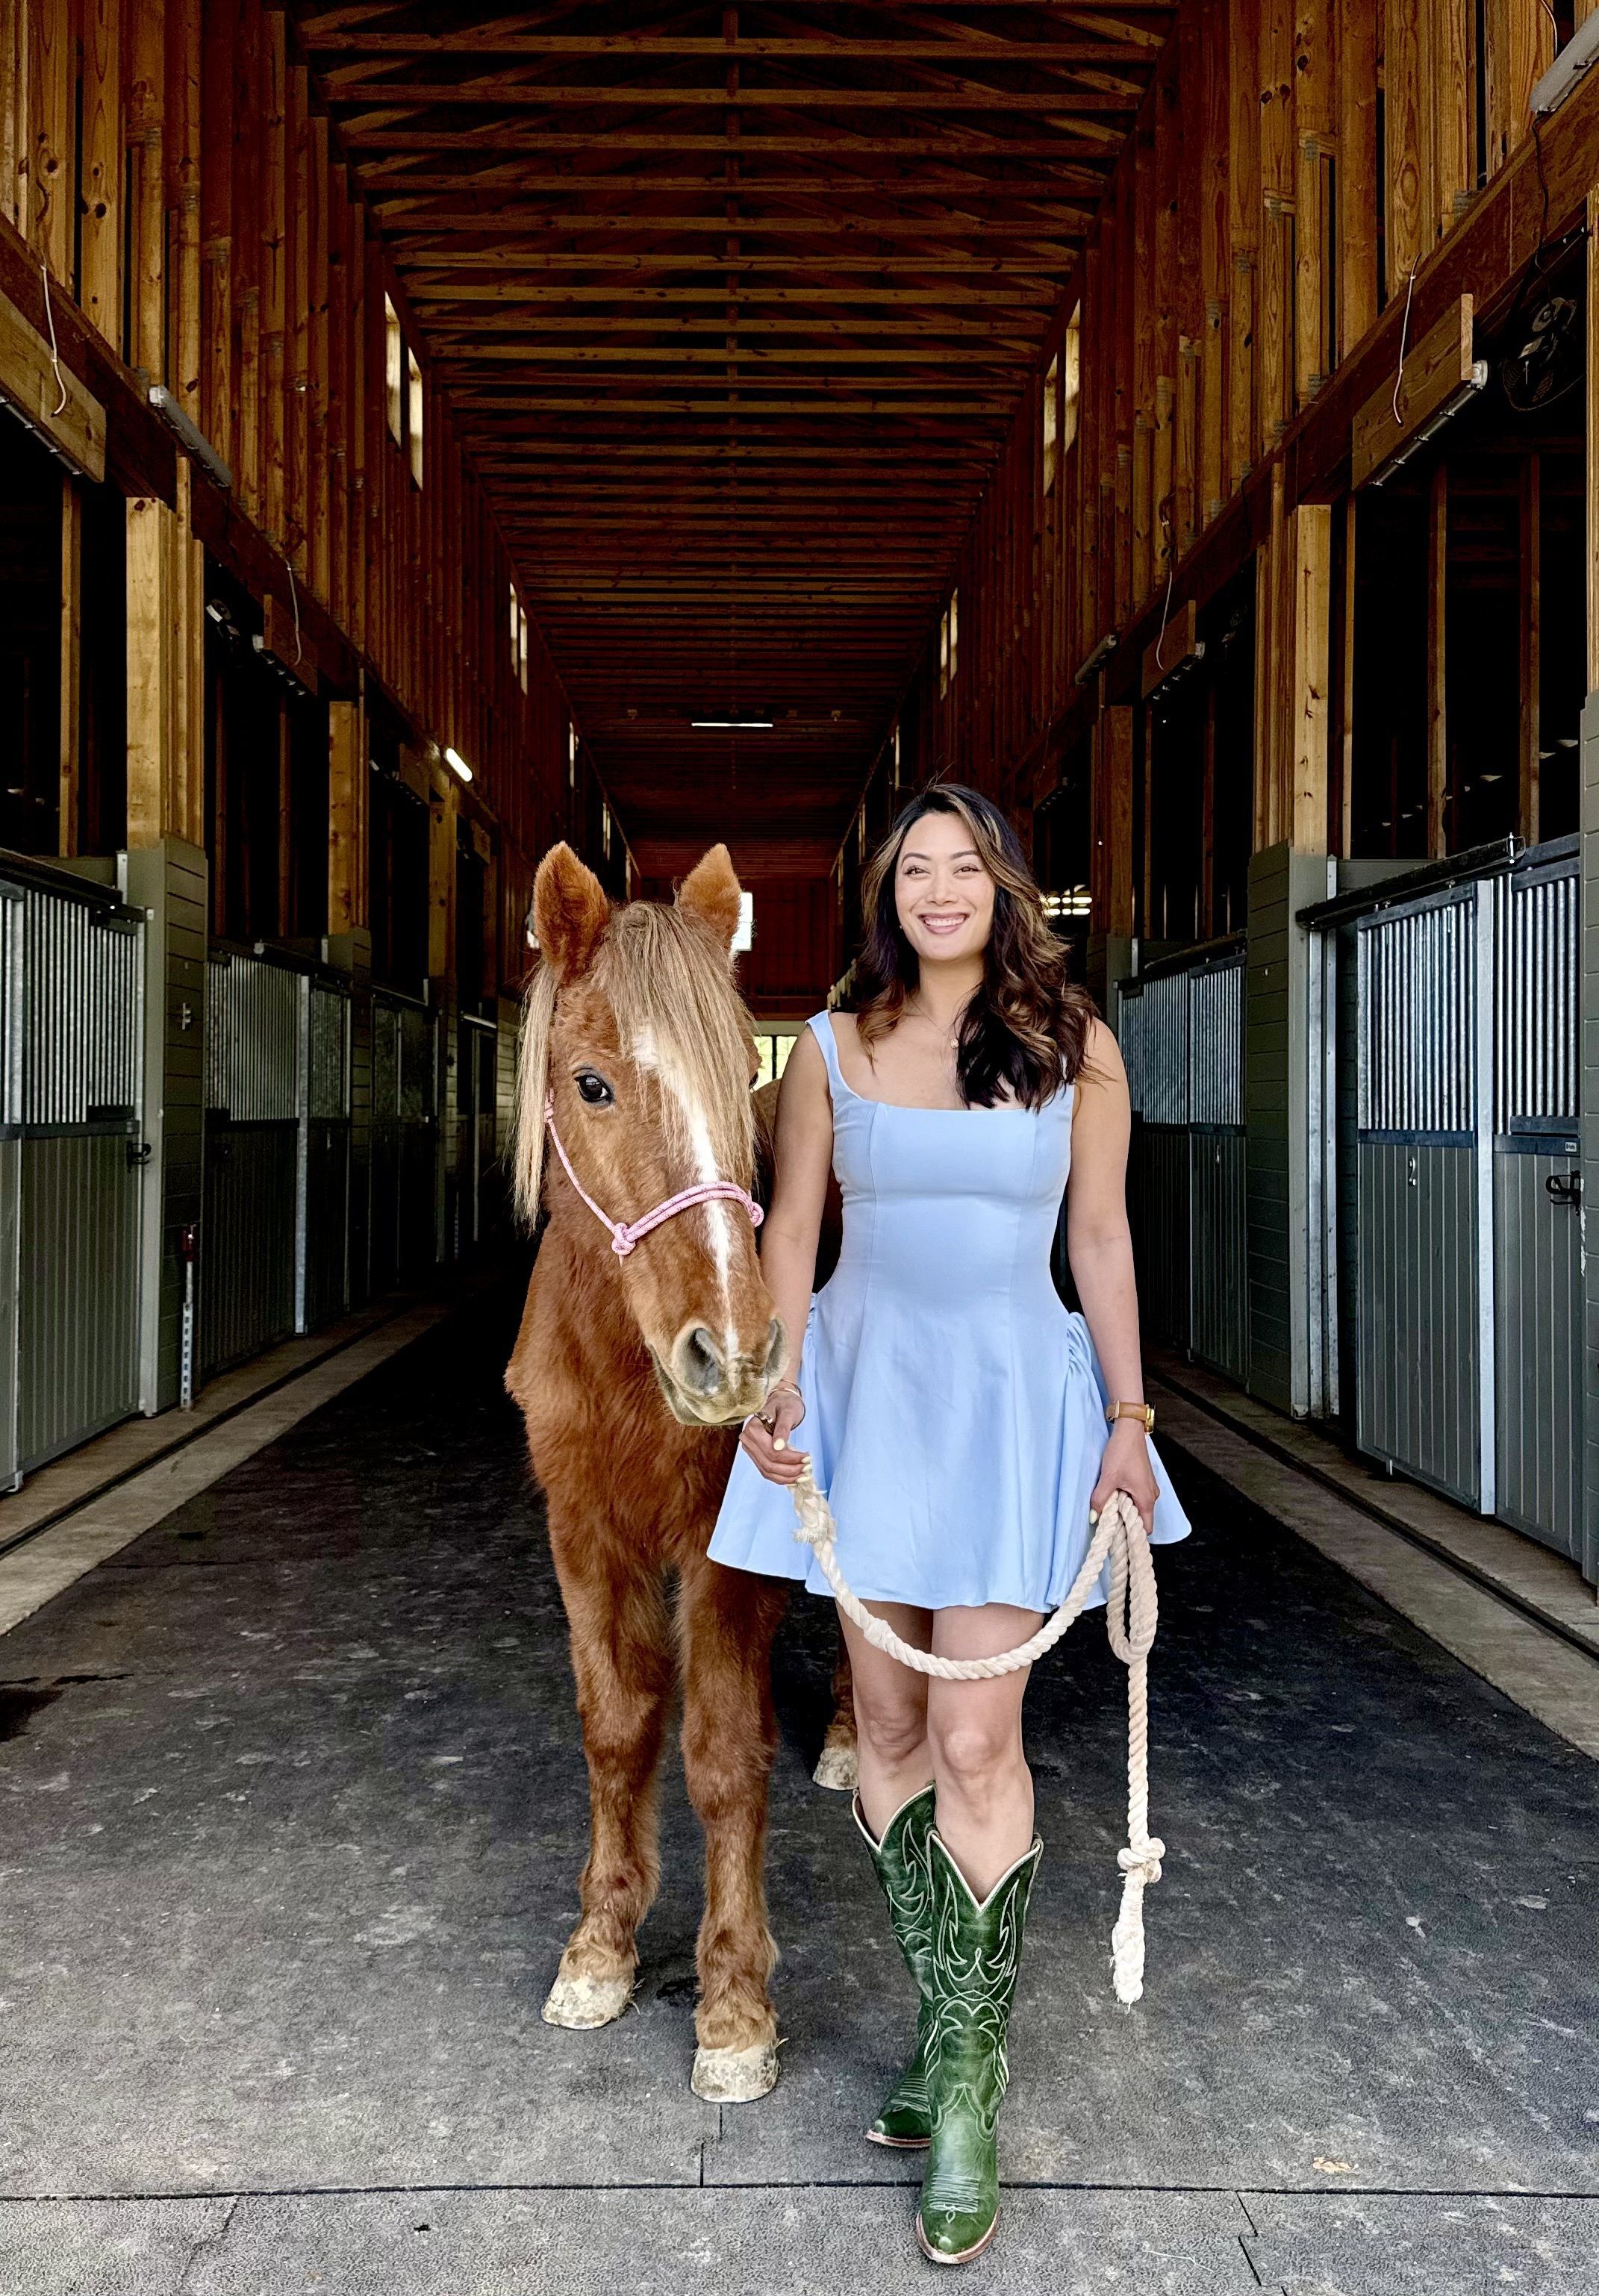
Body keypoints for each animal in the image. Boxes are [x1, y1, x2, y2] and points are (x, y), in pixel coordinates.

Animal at [506, 839, 853, 2104]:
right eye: (592, 1085)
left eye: (734, 1073)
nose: (734, 1355)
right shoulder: (580, 1530)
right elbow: (616, 1728)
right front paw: (600, 1946)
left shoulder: (722, 1554)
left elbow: (720, 1756)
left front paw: (734, 2004)